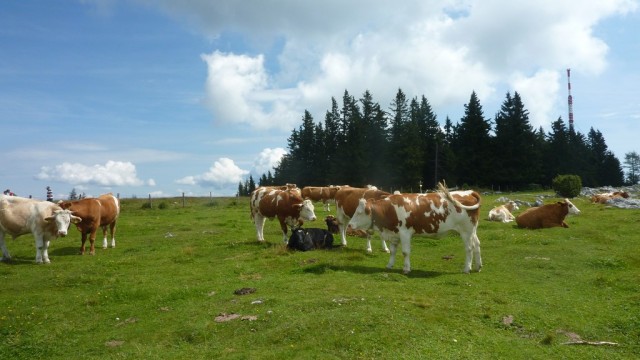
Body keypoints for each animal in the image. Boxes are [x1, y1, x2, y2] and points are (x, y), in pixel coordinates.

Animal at [350, 184, 480, 274]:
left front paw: (406, 269)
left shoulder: (405, 233)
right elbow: (392, 251)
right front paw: (389, 265)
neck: (390, 209)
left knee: (469, 248)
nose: (350, 224)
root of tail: (469, 192)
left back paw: (466, 269)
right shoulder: (394, 234)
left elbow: (405, 252)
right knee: (477, 245)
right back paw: (478, 267)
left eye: (359, 212)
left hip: (466, 231)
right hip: (472, 231)